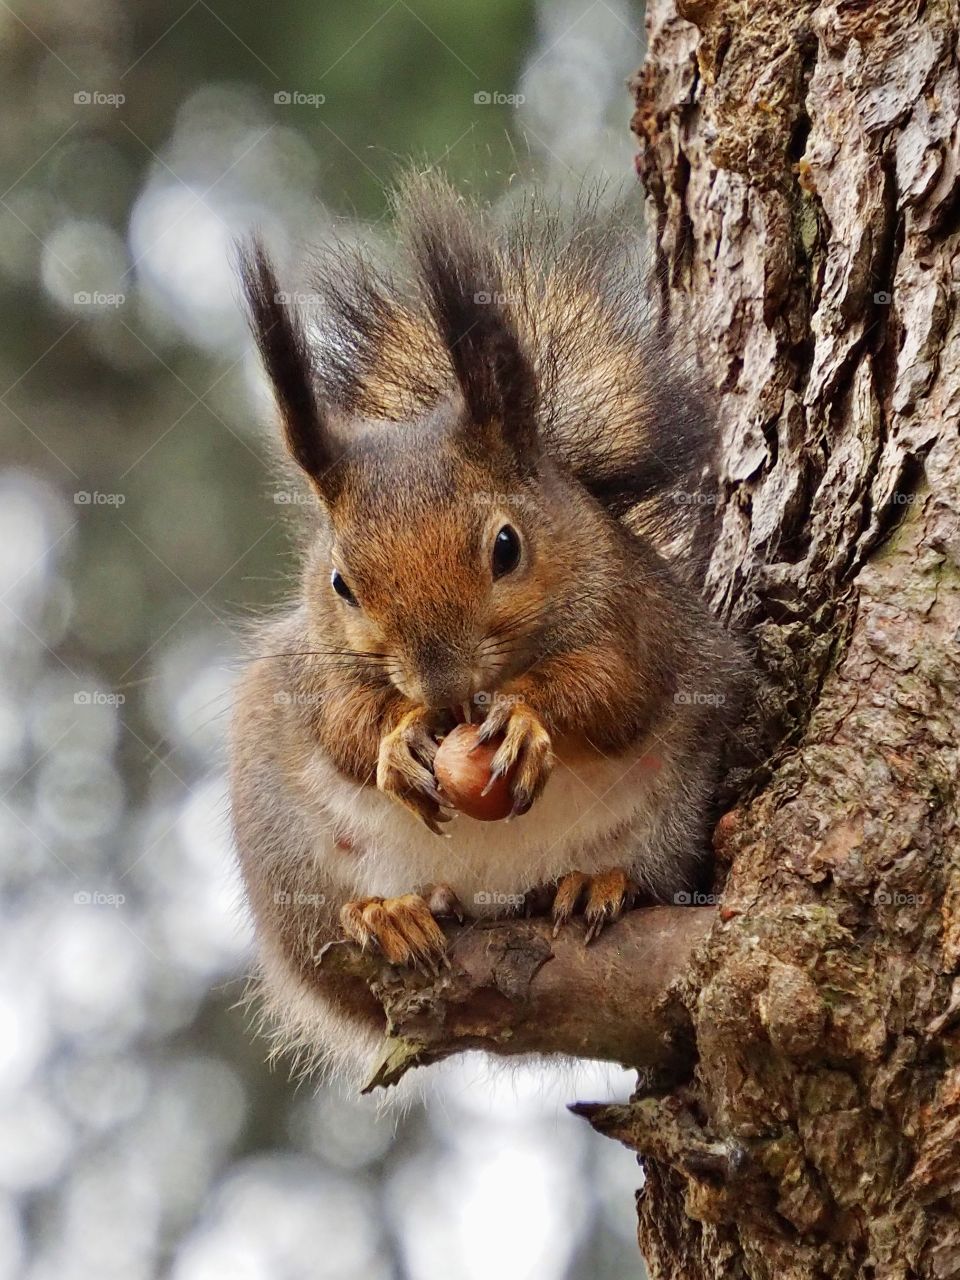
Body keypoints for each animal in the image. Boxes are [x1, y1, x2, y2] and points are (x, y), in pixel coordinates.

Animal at [230, 175, 746, 1086]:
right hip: (291, 862)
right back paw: (393, 912)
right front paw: (396, 741)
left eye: (507, 547)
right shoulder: (311, 668)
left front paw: (529, 719)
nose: (442, 691)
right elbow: (341, 721)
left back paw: (596, 885)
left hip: (672, 820)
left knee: (636, 869)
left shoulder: (639, 619)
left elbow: (611, 691)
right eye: (340, 583)